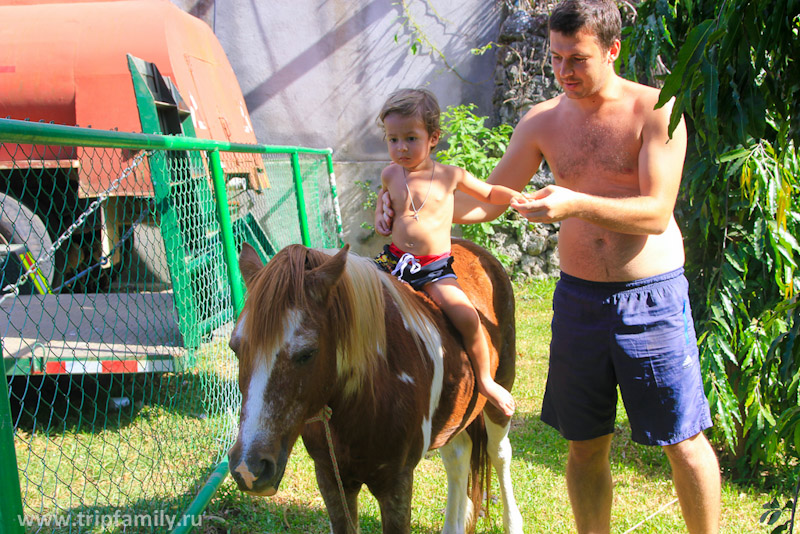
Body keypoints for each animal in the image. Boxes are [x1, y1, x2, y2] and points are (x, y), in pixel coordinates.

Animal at [227, 241, 524, 534]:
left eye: (307, 353)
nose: (249, 469)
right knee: (458, 457)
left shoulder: (396, 484)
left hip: (498, 396)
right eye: (235, 348)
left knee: (498, 454)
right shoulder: (331, 479)